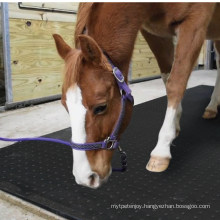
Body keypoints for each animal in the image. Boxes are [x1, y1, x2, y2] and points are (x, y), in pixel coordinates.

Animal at [53, 2, 220, 188]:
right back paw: (212, 107)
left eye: (101, 107)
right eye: (65, 105)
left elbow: (176, 83)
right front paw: (175, 126)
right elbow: (167, 77)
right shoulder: (155, 35)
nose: (85, 177)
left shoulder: (195, 22)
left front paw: (161, 150)